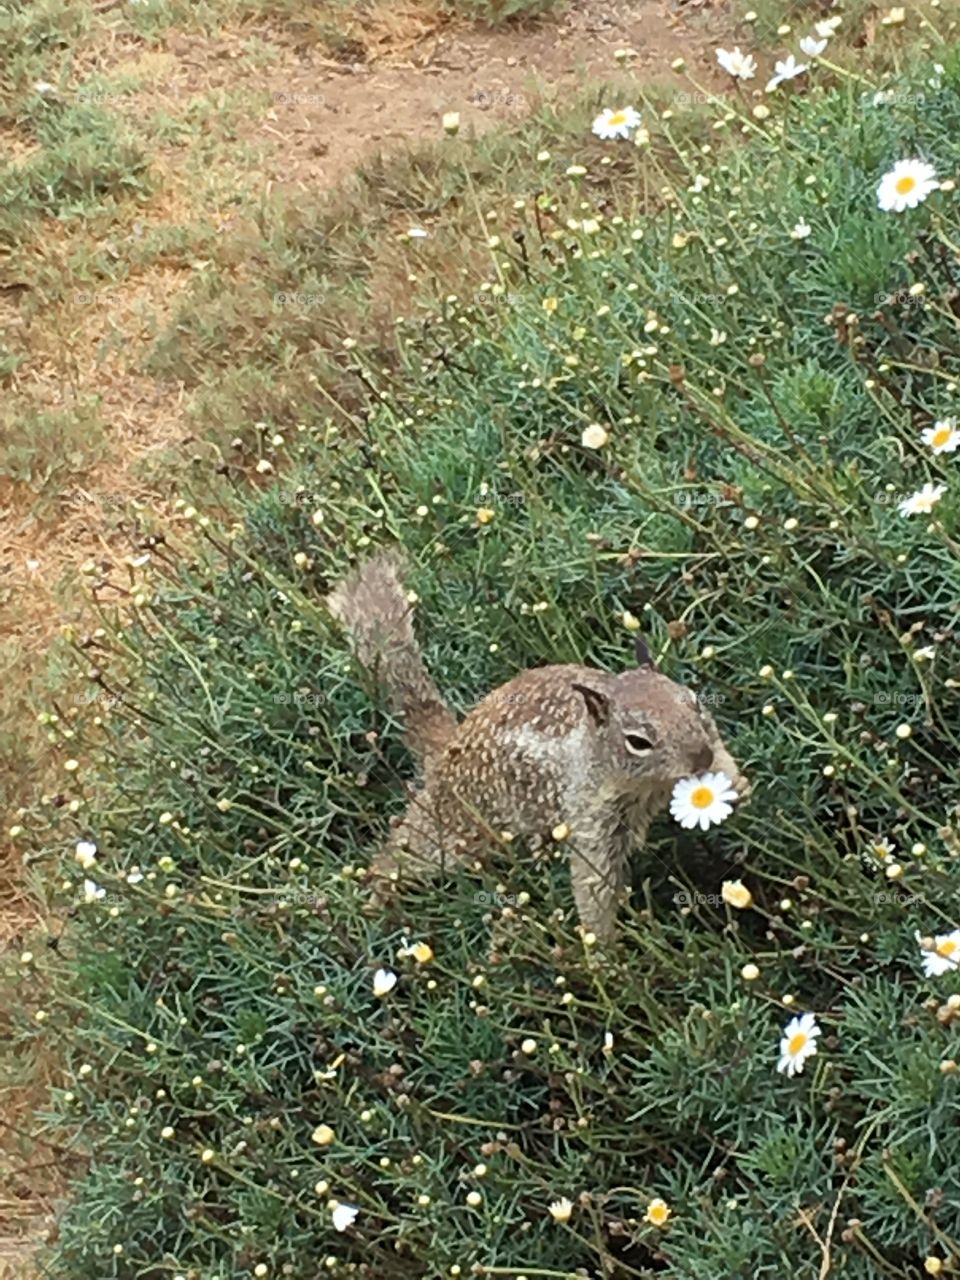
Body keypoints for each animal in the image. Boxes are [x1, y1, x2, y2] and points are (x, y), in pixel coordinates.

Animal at [330, 550, 752, 942]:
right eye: (638, 741)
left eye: (694, 701)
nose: (700, 756)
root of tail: (448, 746)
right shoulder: (590, 818)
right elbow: (594, 884)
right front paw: (605, 953)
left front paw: (741, 788)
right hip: (454, 827)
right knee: (401, 854)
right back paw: (377, 900)